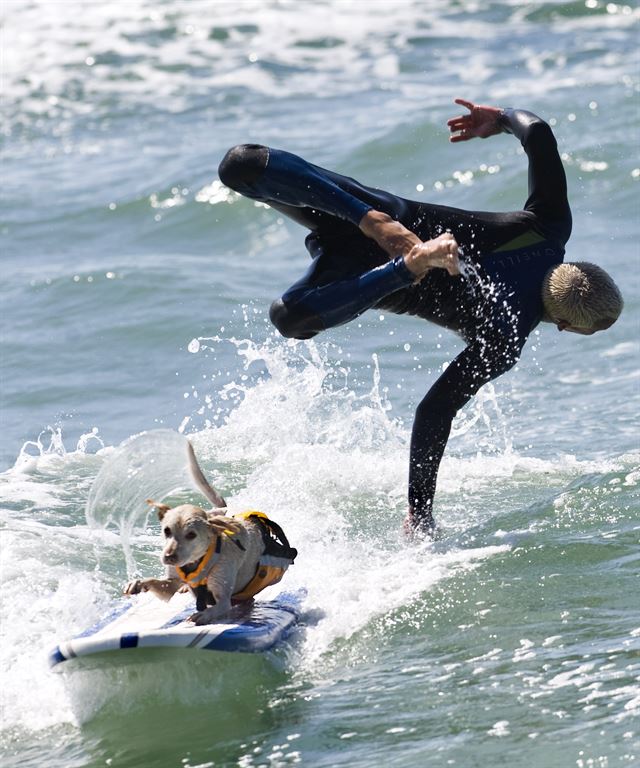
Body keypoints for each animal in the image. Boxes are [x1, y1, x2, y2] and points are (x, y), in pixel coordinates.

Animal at [124, 440, 298, 628]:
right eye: (166, 531)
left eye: (191, 535)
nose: (169, 557)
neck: (197, 562)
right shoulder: (170, 584)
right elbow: (158, 583)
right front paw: (137, 584)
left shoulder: (223, 599)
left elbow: (218, 607)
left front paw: (201, 615)